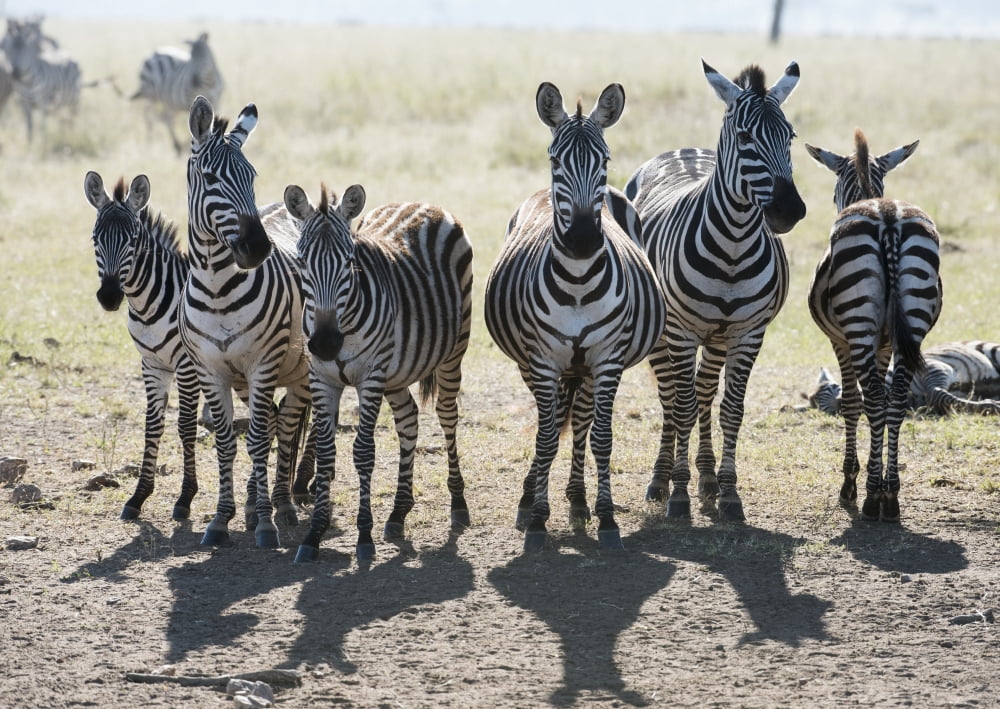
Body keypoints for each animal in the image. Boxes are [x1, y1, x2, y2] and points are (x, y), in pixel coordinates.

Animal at [84, 170, 201, 522]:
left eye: (133, 241)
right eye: (95, 239)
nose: (109, 297)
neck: (148, 306)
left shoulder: (187, 367)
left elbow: (186, 426)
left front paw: (185, 498)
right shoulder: (152, 365)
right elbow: (152, 425)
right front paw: (139, 496)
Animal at [181, 95, 311, 548]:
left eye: (251, 177)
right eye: (210, 178)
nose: (257, 248)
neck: (219, 290)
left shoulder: (262, 364)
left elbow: (256, 440)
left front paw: (267, 526)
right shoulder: (211, 370)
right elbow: (225, 441)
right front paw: (222, 519)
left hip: (300, 372)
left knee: (283, 429)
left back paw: (281, 506)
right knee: (271, 423)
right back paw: (257, 506)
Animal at [284, 183, 474, 563]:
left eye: (348, 262)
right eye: (302, 262)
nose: (325, 343)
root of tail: (421, 202)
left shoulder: (370, 376)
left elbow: (363, 452)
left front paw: (363, 536)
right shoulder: (322, 378)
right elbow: (327, 450)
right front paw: (314, 533)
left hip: (453, 350)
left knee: (447, 416)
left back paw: (458, 504)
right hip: (396, 371)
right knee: (409, 419)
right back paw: (399, 512)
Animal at [484, 82, 666, 552]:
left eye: (605, 160)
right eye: (555, 160)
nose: (583, 239)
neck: (580, 281)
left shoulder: (608, 358)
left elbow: (600, 437)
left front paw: (606, 518)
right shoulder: (544, 360)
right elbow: (547, 436)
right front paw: (536, 519)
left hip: (585, 368)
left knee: (581, 423)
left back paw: (579, 500)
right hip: (535, 364)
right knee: (552, 423)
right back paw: (532, 498)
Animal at [625, 60, 807, 522]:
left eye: (791, 136)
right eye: (744, 137)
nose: (788, 211)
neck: (734, 246)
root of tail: (684, 150)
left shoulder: (748, 334)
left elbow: (730, 409)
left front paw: (728, 493)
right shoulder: (682, 332)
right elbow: (681, 407)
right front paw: (678, 495)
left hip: (718, 338)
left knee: (704, 392)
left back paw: (706, 478)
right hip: (664, 334)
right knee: (671, 399)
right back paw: (661, 480)